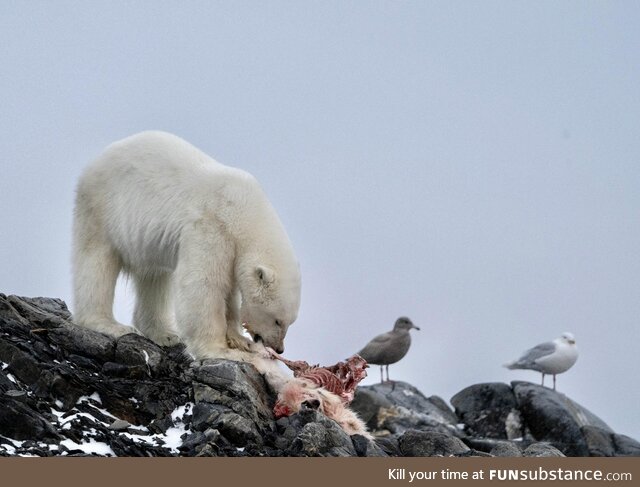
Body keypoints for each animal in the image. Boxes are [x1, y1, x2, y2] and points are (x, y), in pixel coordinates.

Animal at [71, 132, 302, 360]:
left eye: (290, 322)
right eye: (277, 320)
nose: (279, 348)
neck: (243, 211)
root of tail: (97, 160)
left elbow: (229, 289)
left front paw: (238, 338)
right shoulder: (212, 226)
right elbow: (204, 284)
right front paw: (221, 350)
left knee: (154, 278)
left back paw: (165, 334)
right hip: (102, 207)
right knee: (96, 263)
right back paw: (110, 325)